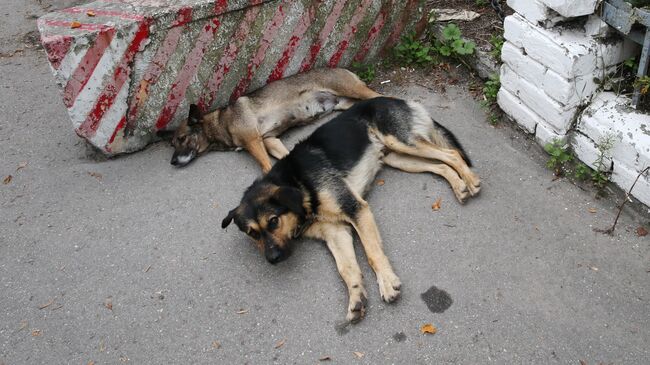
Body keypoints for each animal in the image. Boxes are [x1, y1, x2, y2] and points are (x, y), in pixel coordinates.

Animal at [167, 67, 380, 170]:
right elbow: (285, 156)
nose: (173, 162)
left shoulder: (254, 141)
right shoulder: (269, 140)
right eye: (173, 144)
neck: (220, 122)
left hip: (352, 90)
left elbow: (265, 166)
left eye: (182, 139)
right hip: (345, 103)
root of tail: (341, 68)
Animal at [220, 96, 478, 322]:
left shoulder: (357, 210)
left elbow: (372, 253)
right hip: (399, 158)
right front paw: (356, 297)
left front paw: (387, 282)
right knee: (439, 166)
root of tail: (395, 98)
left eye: (273, 221)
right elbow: (346, 268)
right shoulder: (336, 232)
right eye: (252, 233)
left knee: (451, 154)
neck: (296, 182)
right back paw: (459, 186)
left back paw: (471, 180)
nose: (273, 259)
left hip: (401, 142)